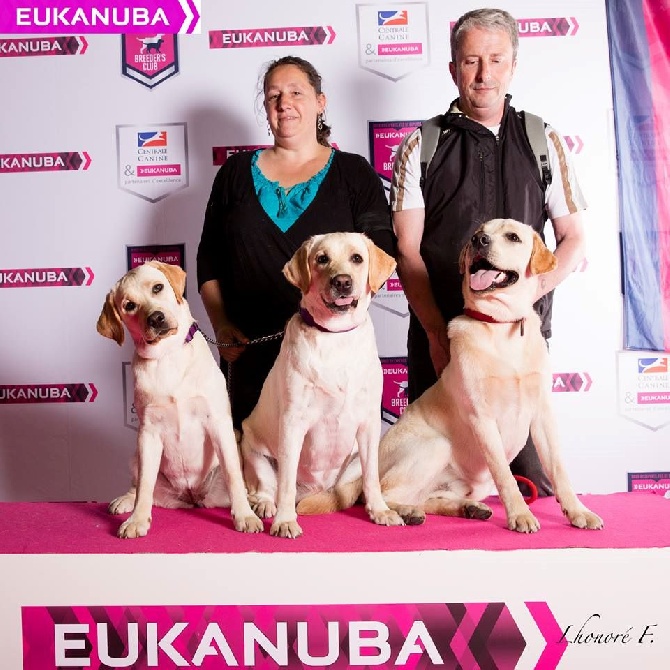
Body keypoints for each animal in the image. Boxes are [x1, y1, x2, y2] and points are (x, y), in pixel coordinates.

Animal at [96, 262, 262, 540]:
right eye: (129, 305)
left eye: (157, 287)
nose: (156, 318)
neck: (167, 355)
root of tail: (192, 496)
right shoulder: (148, 432)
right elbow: (144, 485)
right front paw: (137, 520)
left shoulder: (218, 423)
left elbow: (233, 475)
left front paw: (244, 515)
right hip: (136, 456)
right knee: (140, 486)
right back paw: (126, 500)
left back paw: (259, 503)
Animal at [242, 234, 404, 540]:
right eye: (322, 259)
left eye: (357, 258)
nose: (342, 282)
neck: (334, 336)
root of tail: (311, 491)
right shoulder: (292, 423)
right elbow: (285, 483)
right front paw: (284, 521)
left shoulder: (369, 423)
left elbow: (373, 478)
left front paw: (380, 510)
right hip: (253, 448)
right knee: (268, 486)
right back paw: (266, 505)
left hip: (355, 459)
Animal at [380, 220, 608, 536]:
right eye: (477, 234)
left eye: (512, 237)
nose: (479, 240)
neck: (502, 324)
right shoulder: (483, 418)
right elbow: (505, 475)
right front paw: (520, 514)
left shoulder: (542, 414)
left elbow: (559, 470)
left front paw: (578, 511)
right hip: (435, 446)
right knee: (384, 494)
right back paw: (405, 512)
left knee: (426, 497)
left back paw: (468, 508)